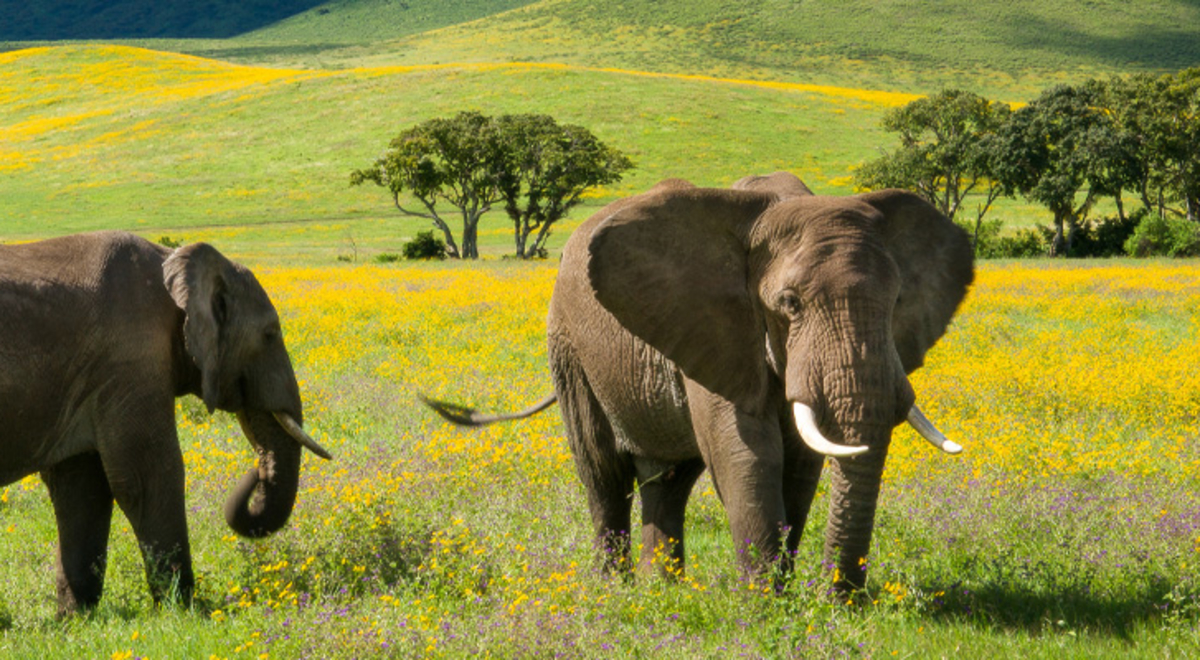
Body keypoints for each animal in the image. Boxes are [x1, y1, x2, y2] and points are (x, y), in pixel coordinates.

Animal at [0, 231, 331, 615]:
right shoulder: (131, 358)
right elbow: (149, 474)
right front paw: (185, 610)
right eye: (270, 334)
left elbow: (80, 488)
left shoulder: (88, 377)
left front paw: (76, 618)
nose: (254, 474)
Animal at [425, 173, 973, 592]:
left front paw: (788, 601)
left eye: (898, 300)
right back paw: (613, 593)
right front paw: (768, 607)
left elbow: (801, 466)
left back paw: (663, 592)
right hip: (567, 348)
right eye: (790, 304)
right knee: (603, 474)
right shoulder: (713, 323)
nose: (839, 600)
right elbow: (747, 452)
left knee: (667, 480)